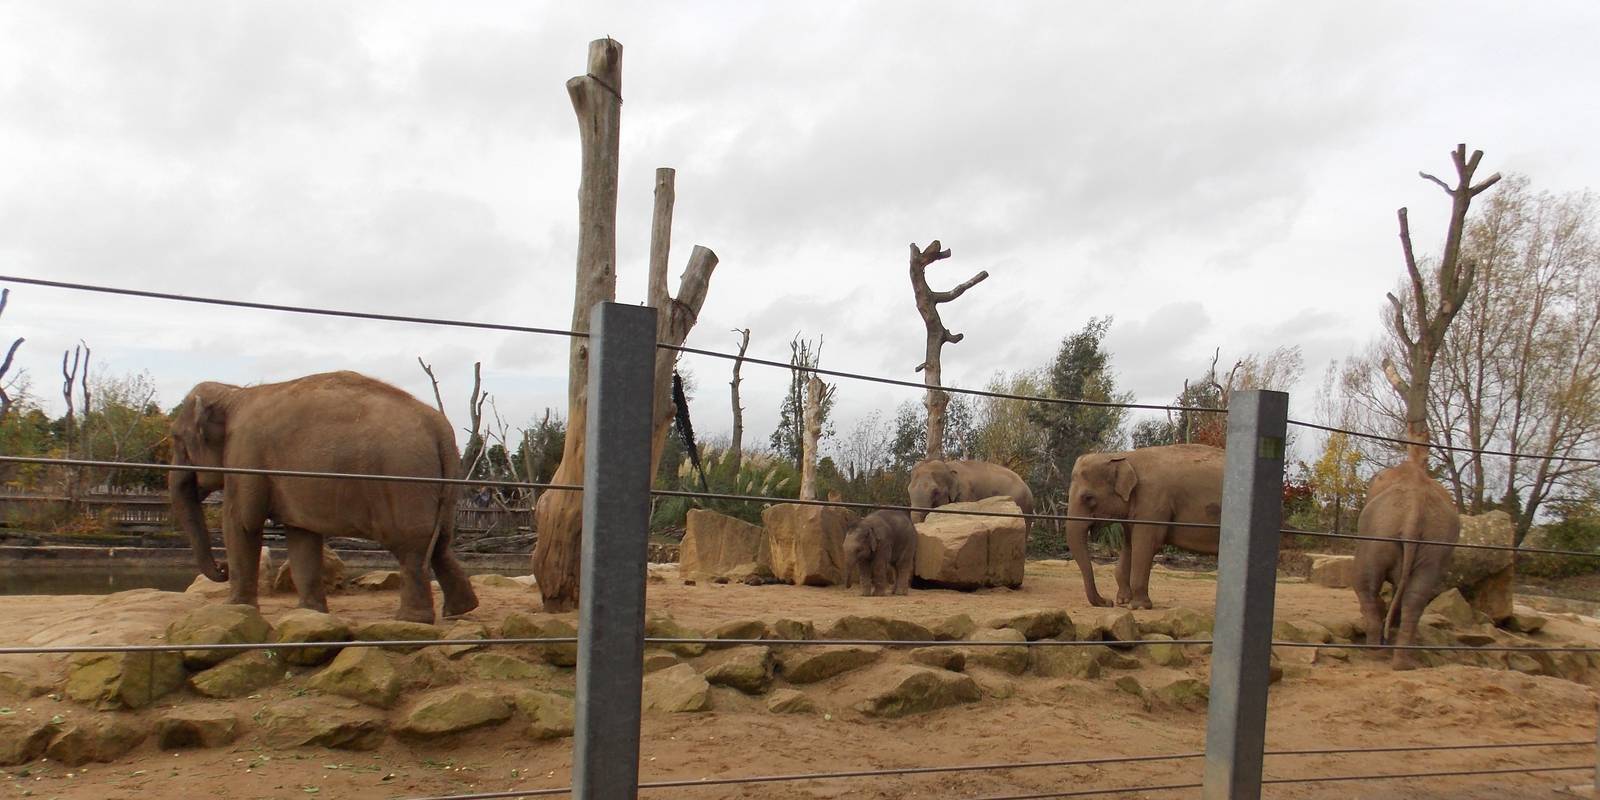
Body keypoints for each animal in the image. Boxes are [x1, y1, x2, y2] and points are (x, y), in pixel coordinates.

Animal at [169, 370, 479, 623]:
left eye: (176, 438)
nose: (221, 568)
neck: (233, 394)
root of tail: (440, 428)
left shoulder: (245, 456)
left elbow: (242, 523)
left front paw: (234, 609)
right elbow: (301, 536)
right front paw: (309, 613)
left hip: (403, 480)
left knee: (411, 547)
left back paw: (411, 620)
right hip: (442, 486)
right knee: (440, 543)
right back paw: (460, 610)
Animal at [1064, 444, 1229, 609]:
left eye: (1088, 498)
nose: (1107, 602)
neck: (1123, 456)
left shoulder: (1153, 501)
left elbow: (1146, 545)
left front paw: (1138, 606)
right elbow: (1129, 545)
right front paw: (1123, 602)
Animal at [1351, 459, 1460, 670]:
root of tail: (1415, 507)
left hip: (1378, 533)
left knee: (1365, 584)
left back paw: (1373, 652)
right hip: (1435, 543)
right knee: (1416, 595)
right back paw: (1402, 663)